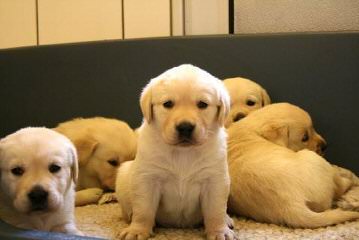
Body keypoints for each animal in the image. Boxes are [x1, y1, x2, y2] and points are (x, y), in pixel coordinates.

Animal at [115, 64, 238, 240]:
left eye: (202, 104)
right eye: (168, 104)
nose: (185, 127)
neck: (183, 152)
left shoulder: (215, 180)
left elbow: (216, 210)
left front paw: (219, 231)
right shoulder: (147, 178)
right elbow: (143, 209)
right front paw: (137, 230)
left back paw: (227, 219)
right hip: (124, 175)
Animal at [228, 102, 359, 227]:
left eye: (313, 128)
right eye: (305, 137)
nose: (325, 146)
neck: (253, 128)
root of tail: (291, 205)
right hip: (313, 158)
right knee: (339, 186)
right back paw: (348, 176)